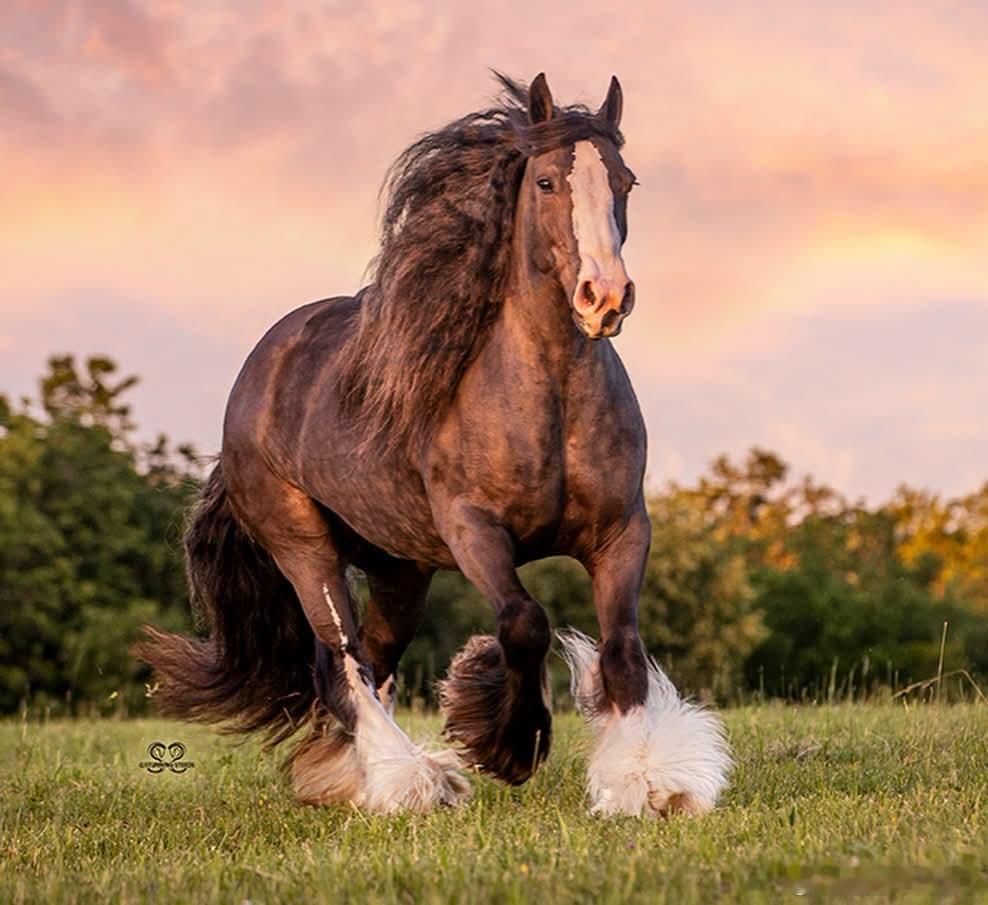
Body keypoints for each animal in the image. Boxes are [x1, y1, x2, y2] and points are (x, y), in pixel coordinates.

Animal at [136, 72, 731, 816]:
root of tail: (259, 369)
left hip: (400, 568)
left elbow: (623, 648)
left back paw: (354, 777)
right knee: (344, 661)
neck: (549, 401)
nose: (604, 297)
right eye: (544, 181)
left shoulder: (622, 530)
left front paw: (647, 781)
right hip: (304, 547)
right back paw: (413, 780)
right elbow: (524, 622)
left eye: (625, 180)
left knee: (374, 660)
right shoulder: (473, 529)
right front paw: (506, 741)